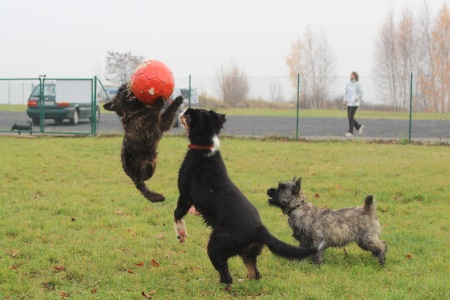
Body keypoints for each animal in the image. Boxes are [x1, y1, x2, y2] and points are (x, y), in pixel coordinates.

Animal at [174, 108, 318, 290]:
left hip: (217, 245)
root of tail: (259, 228)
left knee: (227, 277)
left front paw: (181, 234)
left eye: (189, 115)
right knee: (255, 274)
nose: (180, 110)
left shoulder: (185, 195)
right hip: (248, 252)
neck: (204, 147)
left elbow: (177, 214)